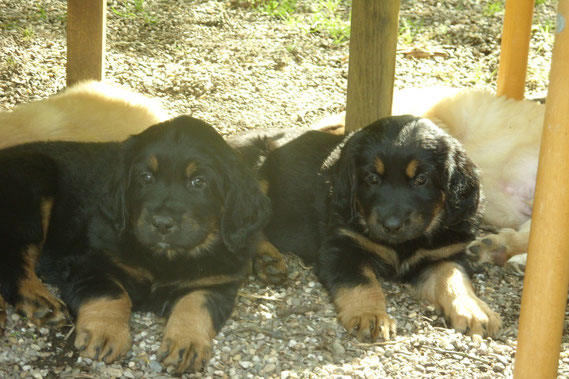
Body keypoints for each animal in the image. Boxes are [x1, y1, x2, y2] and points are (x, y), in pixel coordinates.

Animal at [0, 116, 270, 374]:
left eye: (198, 182)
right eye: (146, 177)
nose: (162, 223)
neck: (165, 257)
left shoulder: (217, 282)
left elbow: (195, 304)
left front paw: (188, 344)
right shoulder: (88, 263)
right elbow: (112, 292)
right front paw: (106, 331)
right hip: (34, 186)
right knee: (13, 255)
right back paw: (37, 300)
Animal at [260, 116, 500, 342]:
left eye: (421, 179)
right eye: (372, 178)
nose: (391, 226)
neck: (404, 244)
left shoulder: (444, 254)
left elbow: (453, 279)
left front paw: (474, 311)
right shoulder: (341, 246)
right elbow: (363, 282)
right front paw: (371, 315)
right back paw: (266, 260)